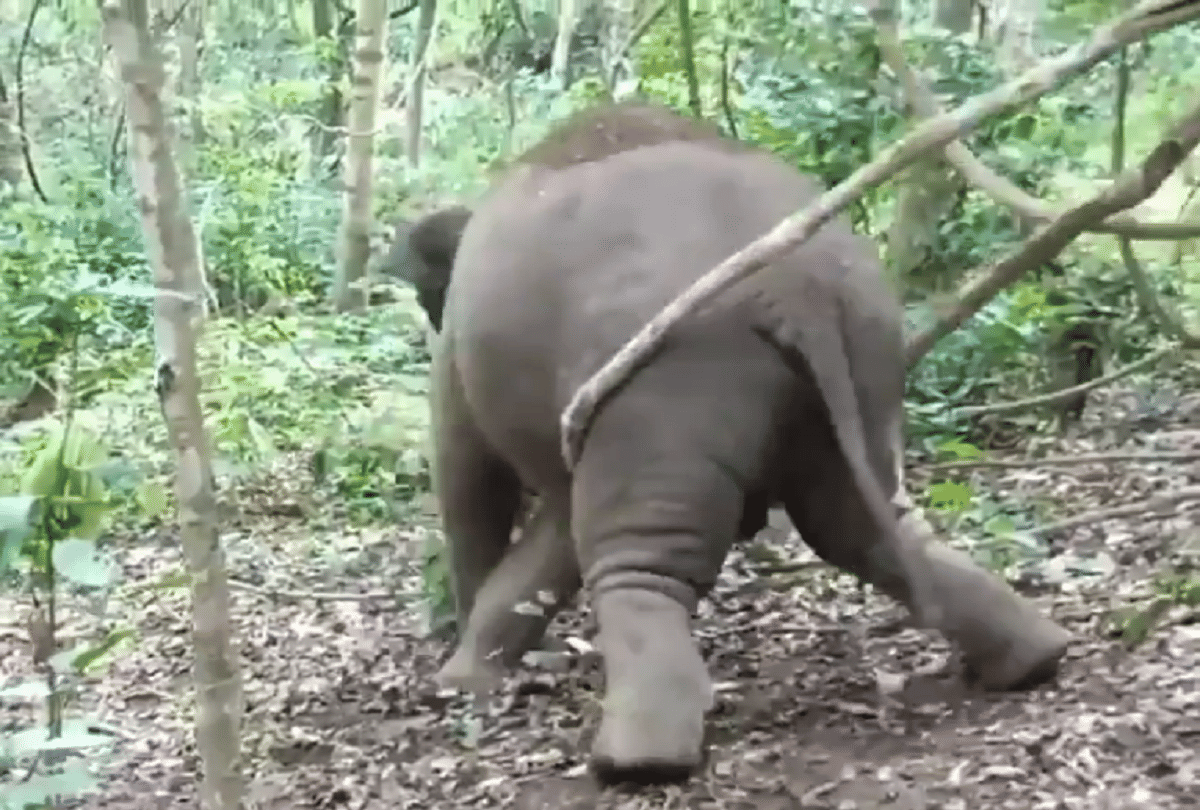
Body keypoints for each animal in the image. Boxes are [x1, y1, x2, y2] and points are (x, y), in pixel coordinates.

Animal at [400, 102, 1071, 785]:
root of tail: (797, 280)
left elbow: (469, 481)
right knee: (866, 524)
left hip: (674, 382)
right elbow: (554, 530)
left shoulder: (461, 366)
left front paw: (459, 679)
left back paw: (635, 760)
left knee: (641, 559)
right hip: (867, 355)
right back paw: (1035, 659)